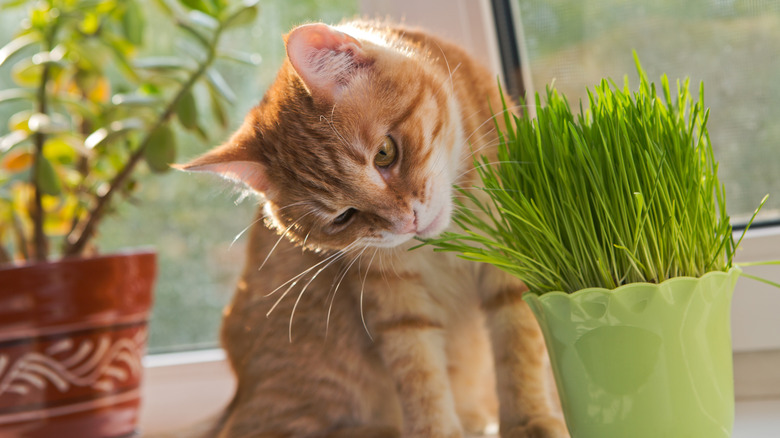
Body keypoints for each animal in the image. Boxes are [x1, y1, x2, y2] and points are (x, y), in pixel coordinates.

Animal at [183, 19, 568, 438]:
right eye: (343, 217)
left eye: (385, 153)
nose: (406, 222)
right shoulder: (394, 300)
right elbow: (420, 376)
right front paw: (438, 430)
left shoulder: (512, 257)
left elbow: (519, 348)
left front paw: (529, 420)